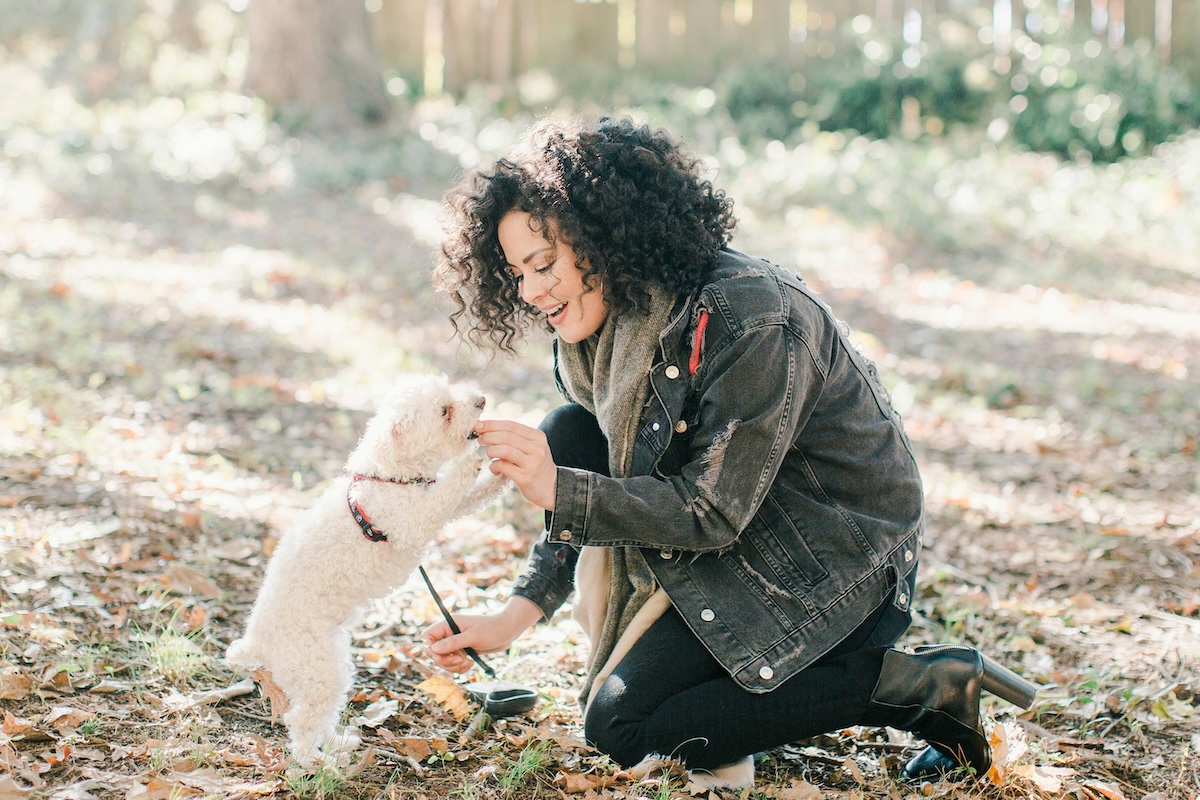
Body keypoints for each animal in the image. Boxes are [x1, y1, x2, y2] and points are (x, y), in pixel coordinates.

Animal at [226, 374, 504, 762]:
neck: (391, 475)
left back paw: (338, 744)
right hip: (316, 666)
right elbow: (455, 484)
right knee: (301, 721)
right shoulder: (415, 518)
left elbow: (472, 495)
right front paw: (477, 456)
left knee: (321, 715)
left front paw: (504, 472)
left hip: (329, 663)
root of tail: (255, 643)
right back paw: (318, 762)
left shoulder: (441, 504)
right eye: (445, 411)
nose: (481, 400)